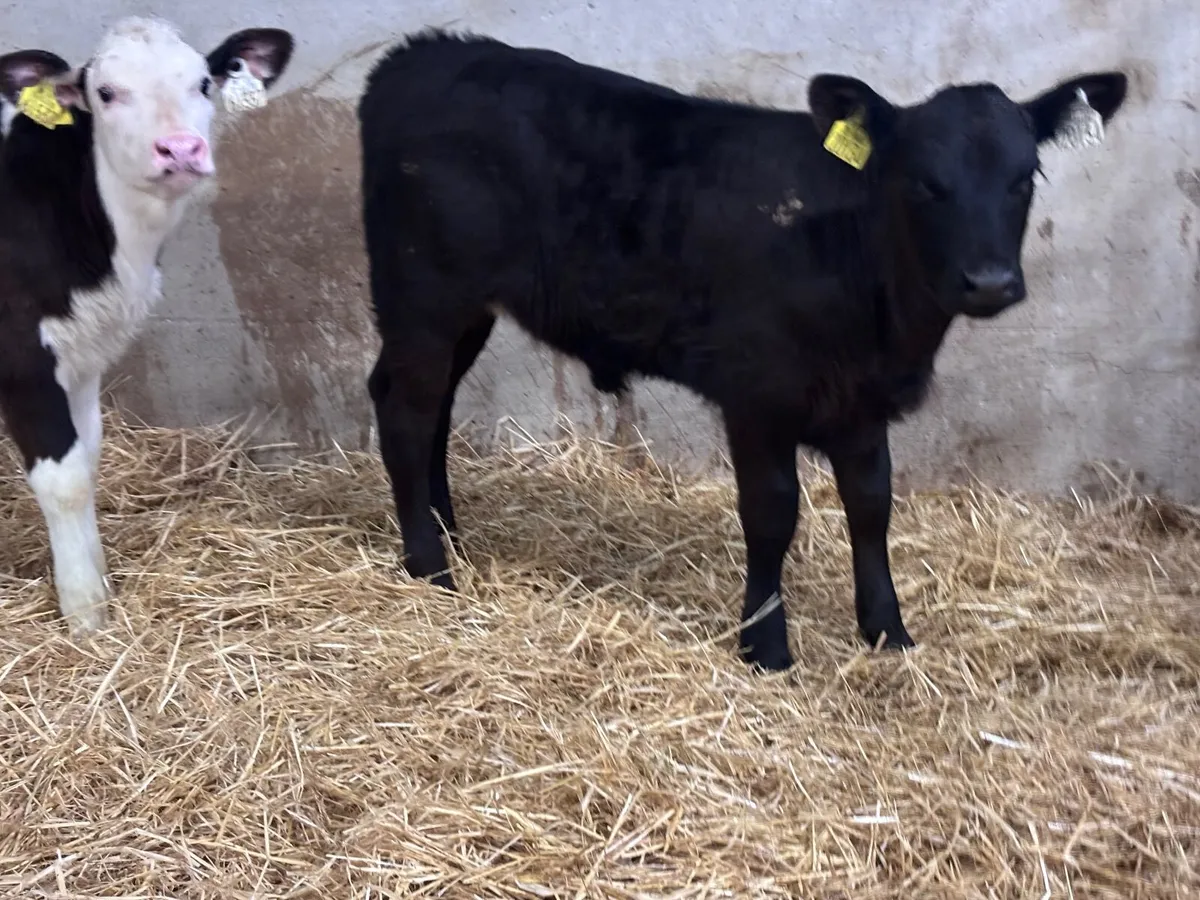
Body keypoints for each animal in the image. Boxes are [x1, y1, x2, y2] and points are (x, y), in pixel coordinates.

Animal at [0, 18, 293, 637]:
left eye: (204, 82)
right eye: (106, 93)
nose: (180, 149)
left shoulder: (81, 356)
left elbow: (86, 460)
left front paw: (98, 580)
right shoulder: (23, 357)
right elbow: (63, 481)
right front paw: (85, 612)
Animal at [357, 29, 1127, 671]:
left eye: (1026, 178)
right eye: (925, 182)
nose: (990, 282)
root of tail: (419, 52)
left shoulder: (860, 399)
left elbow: (872, 504)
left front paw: (887, 632)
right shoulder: (759, 393)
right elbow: (772, 513)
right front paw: (765, 645)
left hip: (462, 310)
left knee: (430, 409)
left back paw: (449, 536)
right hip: (423, 294)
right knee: (406, 412)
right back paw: (429, 564)